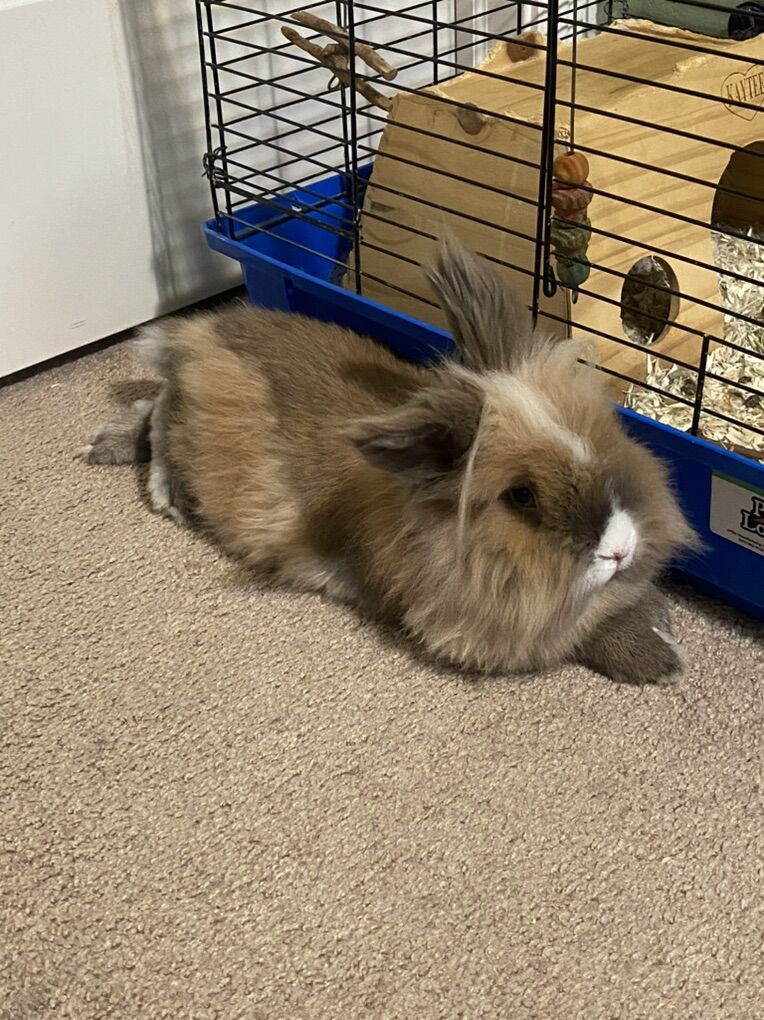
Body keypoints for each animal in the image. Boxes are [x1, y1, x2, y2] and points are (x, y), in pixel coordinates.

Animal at [79, 235, 697, 684]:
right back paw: (162, 492)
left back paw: (108, 447)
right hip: (192, 420)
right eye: (521, 496)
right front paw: (661, 662)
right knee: (160, 414)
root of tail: (202, 331)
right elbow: (579, 634)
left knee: (150, 403)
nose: (619, 547)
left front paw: (660, 621)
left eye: (597, 436)